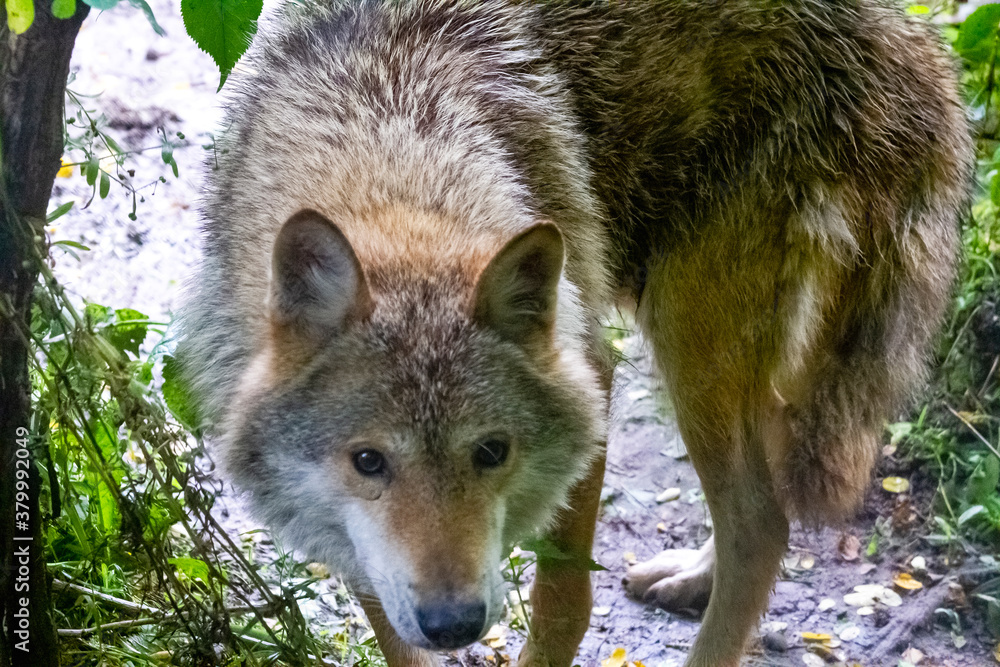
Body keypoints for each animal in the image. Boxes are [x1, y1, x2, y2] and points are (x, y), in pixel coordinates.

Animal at [178, 1, 973, 665]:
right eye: (368, 462)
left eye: (492, 451)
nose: (454, 623)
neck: (388, 139)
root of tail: (911, 43)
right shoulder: (356, 543)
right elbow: (393, 635)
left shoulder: (591, 370)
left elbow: (562, 607)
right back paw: (691, 577)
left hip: (686, 333)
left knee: (760, 523)